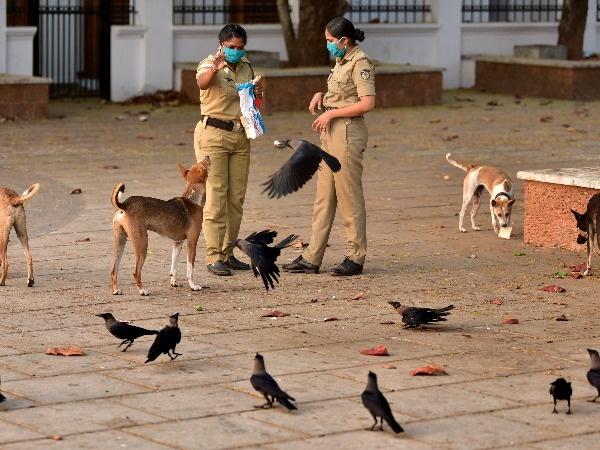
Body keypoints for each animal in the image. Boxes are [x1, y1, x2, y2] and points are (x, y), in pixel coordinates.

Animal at [110, 156, 211, 298]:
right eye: (203, 164)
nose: (207, 156)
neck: (192, 199)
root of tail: (124, 204)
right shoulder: (192, 243)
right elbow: (190, 269)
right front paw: (193, 286)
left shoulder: (177, 243)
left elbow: (173, 267)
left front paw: (174, 283)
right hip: (142, 244)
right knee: (136, 272)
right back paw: (143, 290)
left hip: (120, 243)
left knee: (114, 269)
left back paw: (116, 290)